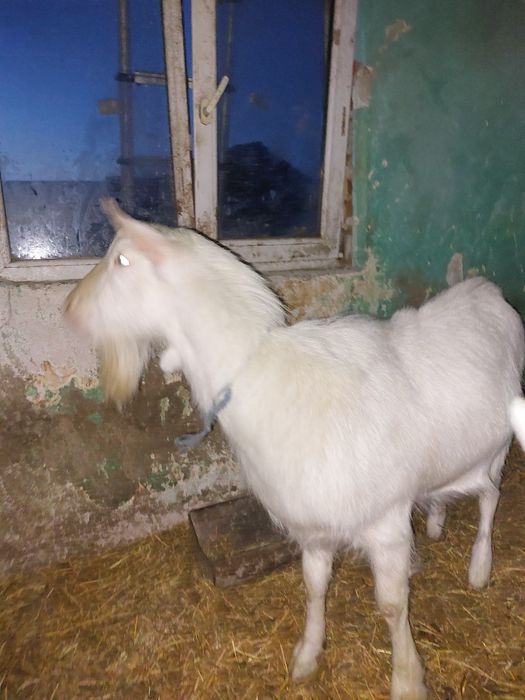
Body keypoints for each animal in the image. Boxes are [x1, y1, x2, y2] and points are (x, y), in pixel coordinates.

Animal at [66, 199, 525, 700]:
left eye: (122, 261)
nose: (70, 308)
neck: (263, 374)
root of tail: (485, 289)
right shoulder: (314, 527)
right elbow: (314, 587)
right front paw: (307, 654)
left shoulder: (385, 523)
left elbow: (391, 604)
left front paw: (407, 678)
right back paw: (439, 522)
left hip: (498, 447)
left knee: (491, 497)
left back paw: (480, 566)